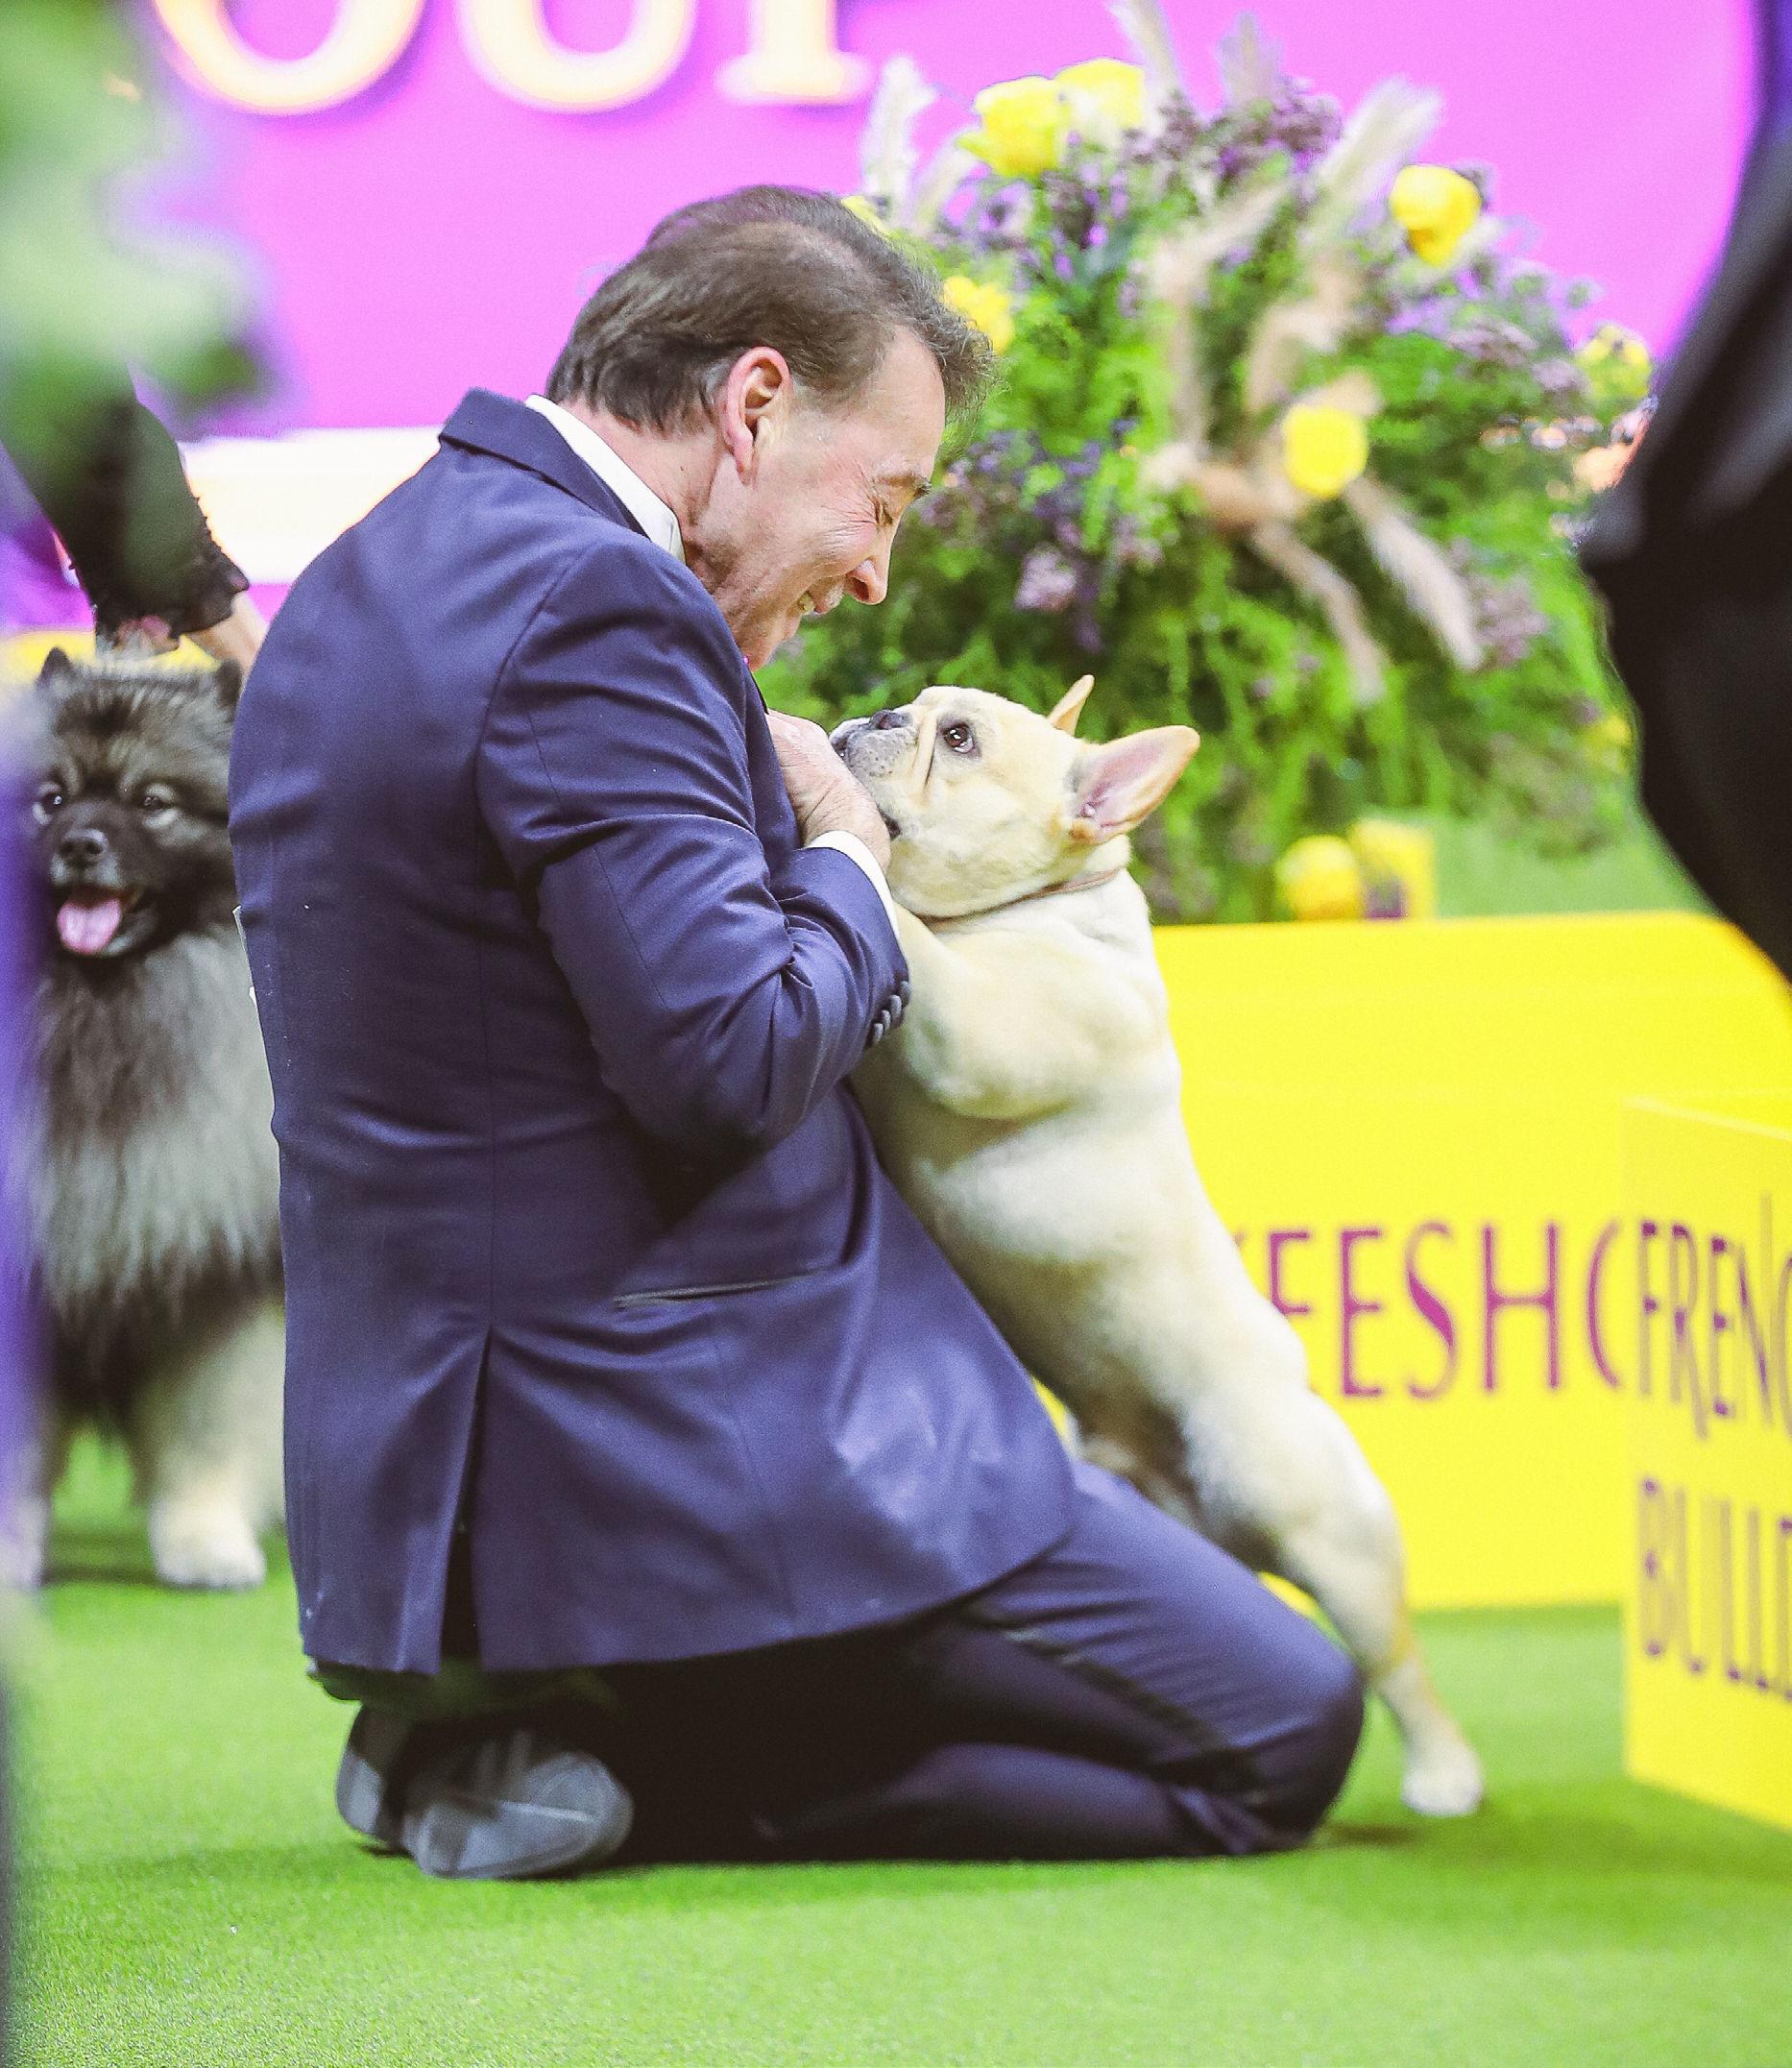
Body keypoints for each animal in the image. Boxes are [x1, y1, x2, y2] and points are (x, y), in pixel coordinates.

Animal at [3, 648, 283, 1590]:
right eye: (51, 799)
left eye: (152, 802)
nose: (81, 845)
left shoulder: (214, 1280)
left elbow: (206, 1430)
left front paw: (205, 1543)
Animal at [836, 676, 1484, 1816]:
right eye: (916, 706)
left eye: (956, 738)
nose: (875, 713)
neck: (1034, 905)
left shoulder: (985, 1030)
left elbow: (911, 933)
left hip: (1317, 1520)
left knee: (1396, 1657)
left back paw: (1445, 1774)